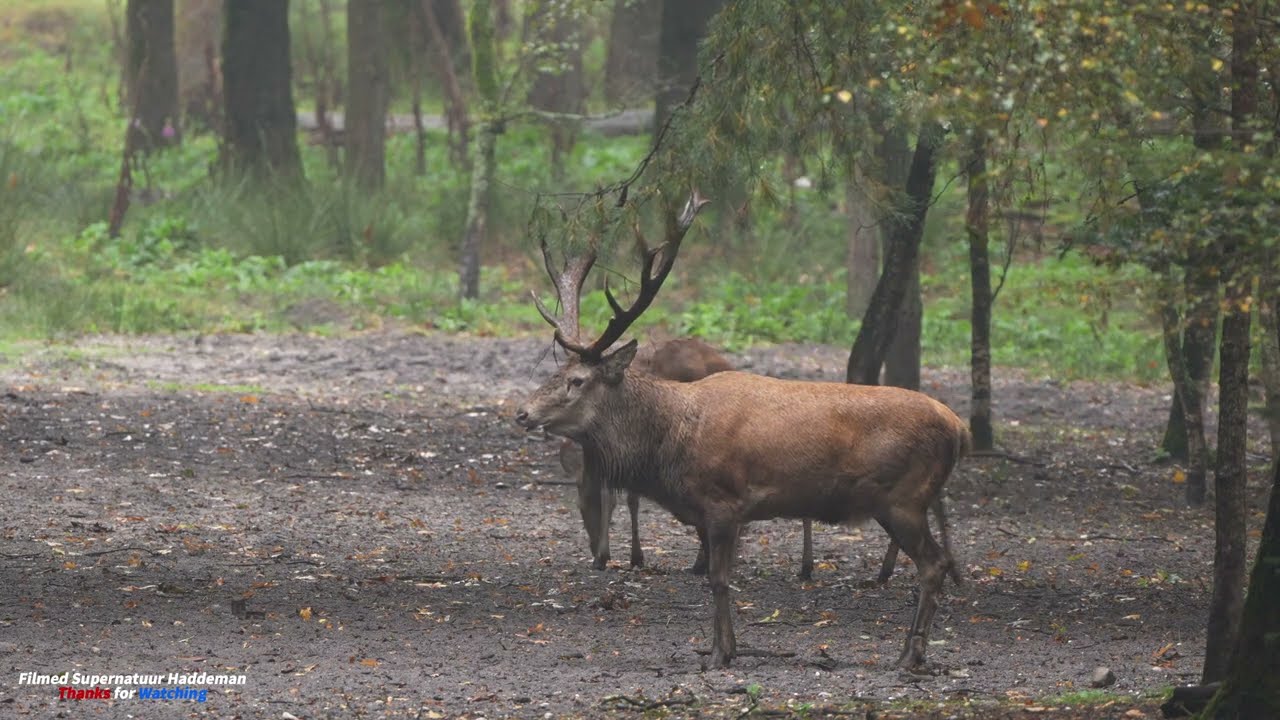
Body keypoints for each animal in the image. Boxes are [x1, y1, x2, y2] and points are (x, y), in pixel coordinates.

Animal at [515, 192, 968, 670]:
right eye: (556, 371)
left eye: (577, 380)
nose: (522, 413)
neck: (670, 448)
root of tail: (959, 428)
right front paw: (724, 647)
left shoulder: (723, 502)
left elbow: (718, 580)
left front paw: (719, 653)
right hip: (901, 502)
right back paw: (909, 651)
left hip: (904, 498)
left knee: (933, 564)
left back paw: (911, 654)